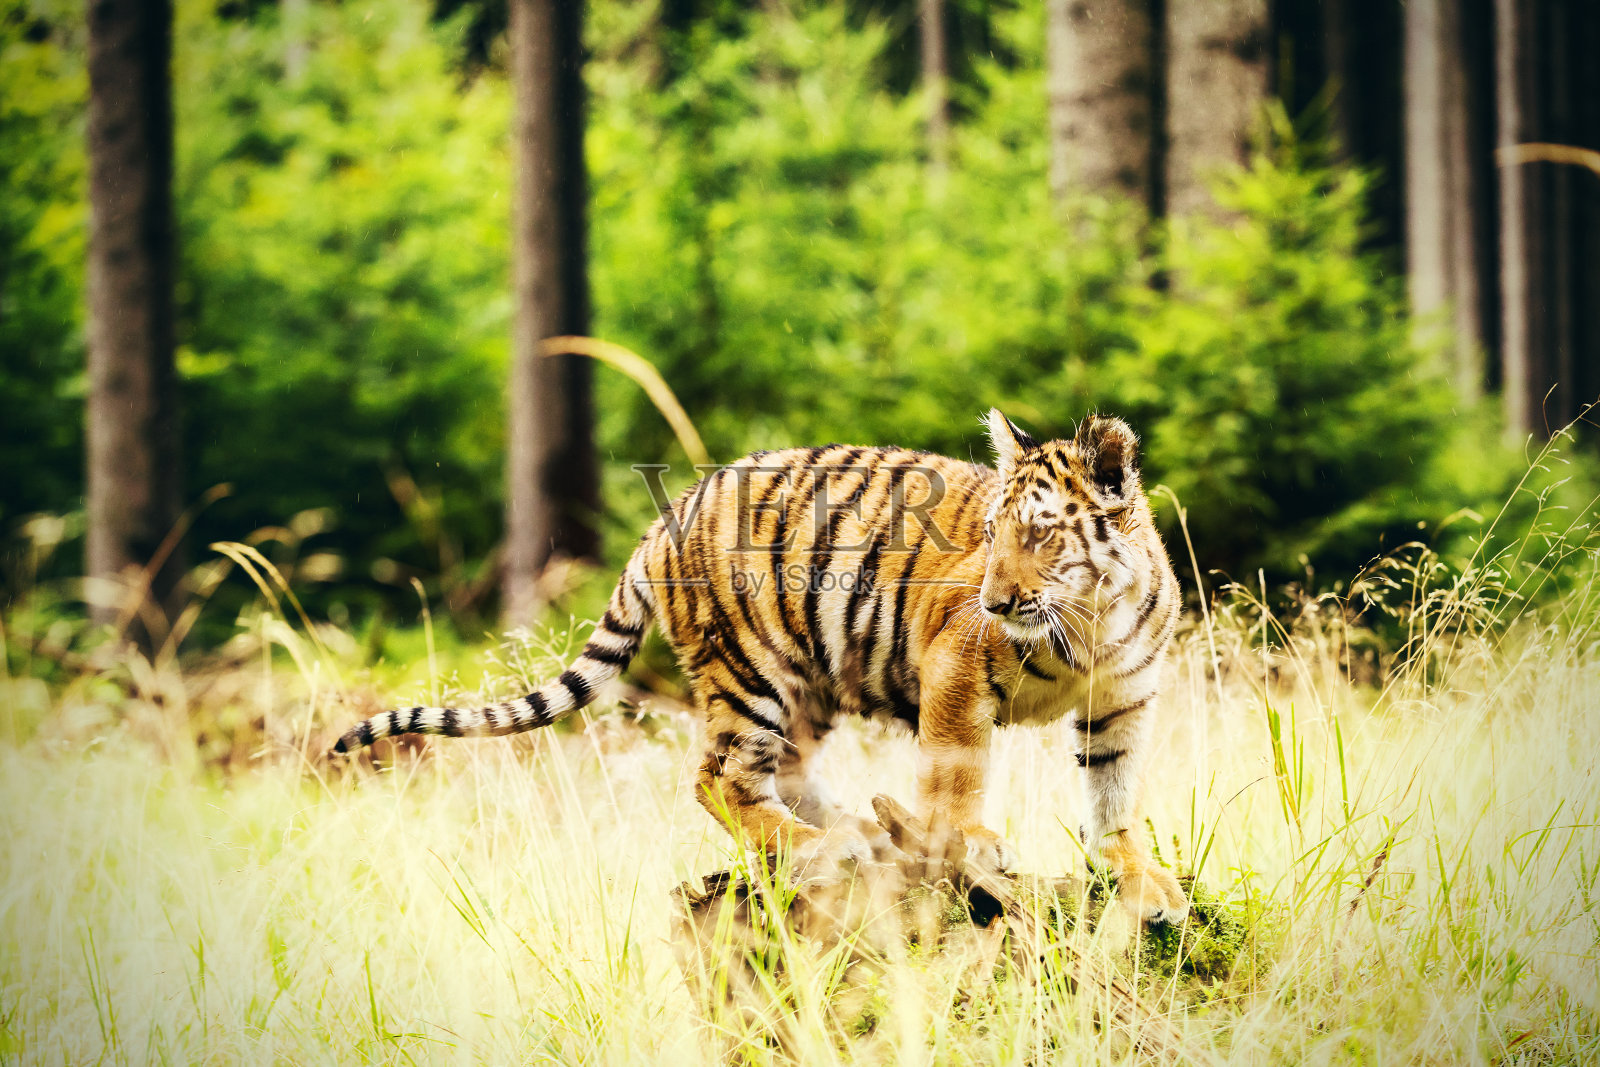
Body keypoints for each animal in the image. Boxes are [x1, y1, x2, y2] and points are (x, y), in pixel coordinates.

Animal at [331, 410, 1188, 923]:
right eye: (989, 533)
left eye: (1039, 534)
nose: (995, 599)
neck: (1093, 620)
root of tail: (668, 512)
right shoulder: (956, 665)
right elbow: (957, 772)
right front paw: (971, 843)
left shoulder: (1123, 706)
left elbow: (1113, 798)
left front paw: (1143, 880)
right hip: (752, 668)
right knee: (720, 778)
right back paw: (825, 845)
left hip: (807, 682)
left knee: (781, 772)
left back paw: (850, 829)